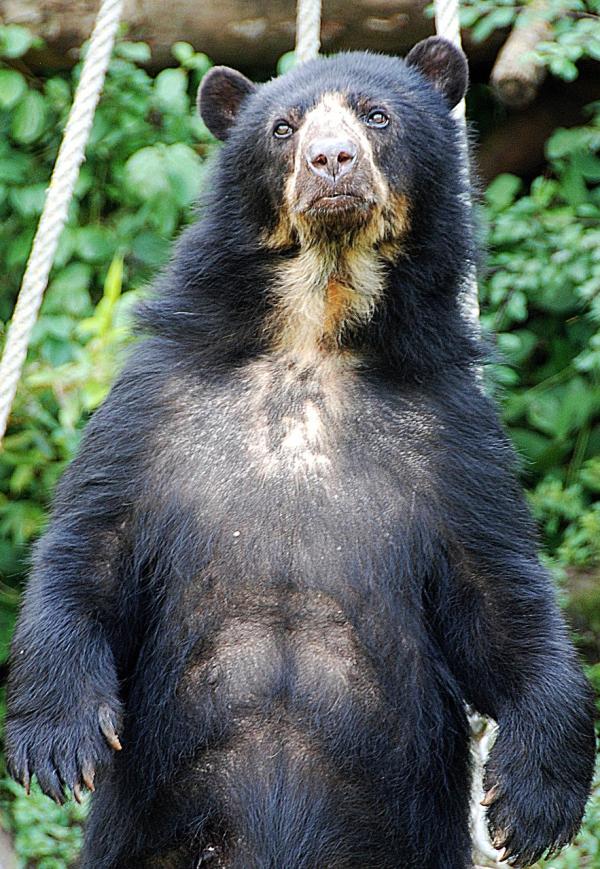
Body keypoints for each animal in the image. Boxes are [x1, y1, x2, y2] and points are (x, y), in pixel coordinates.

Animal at [5, 36, 596, 869]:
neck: (316, 323)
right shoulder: (155, 400)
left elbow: (499, 594)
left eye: (376, 116)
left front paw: (533, 802)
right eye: (283, 128)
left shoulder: (453, 430)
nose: (331, 161)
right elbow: (92, 544)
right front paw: (58, 744)